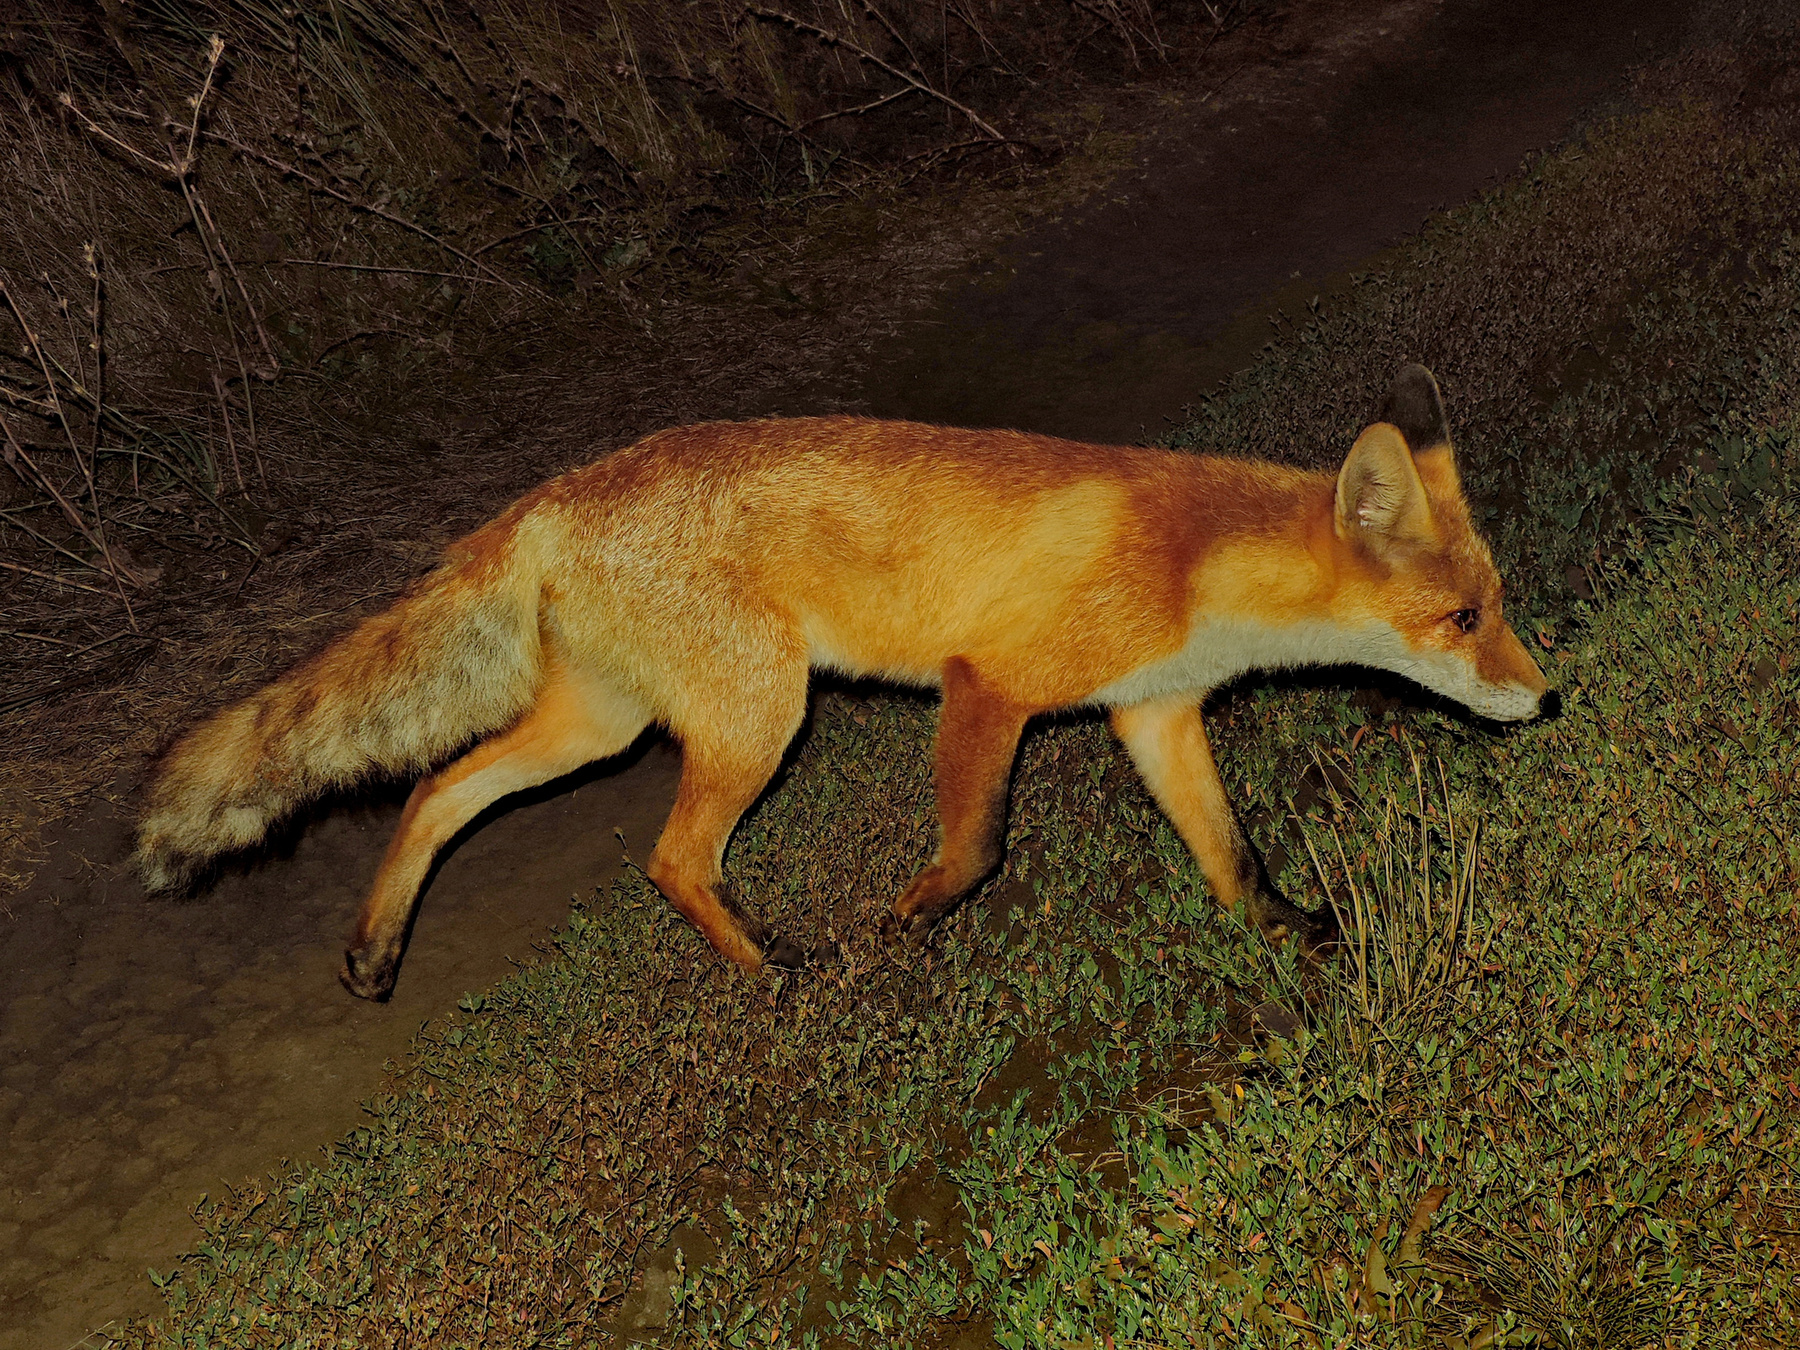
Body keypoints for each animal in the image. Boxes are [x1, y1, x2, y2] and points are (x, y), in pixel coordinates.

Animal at [137, 365, 1550, 1000]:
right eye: (1465, 617)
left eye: (1499, 607)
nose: (1543, 700)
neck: (1191, 564)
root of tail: (551, 497)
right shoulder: (991, 687)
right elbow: (975, 849)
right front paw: (900, 927)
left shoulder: (1153, 712)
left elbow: (1231, 854)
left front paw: (1294, 933)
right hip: (762, 715)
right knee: (672, 859)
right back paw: (771, 972)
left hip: (605, 724)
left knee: (436, 791)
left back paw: (377, 947)